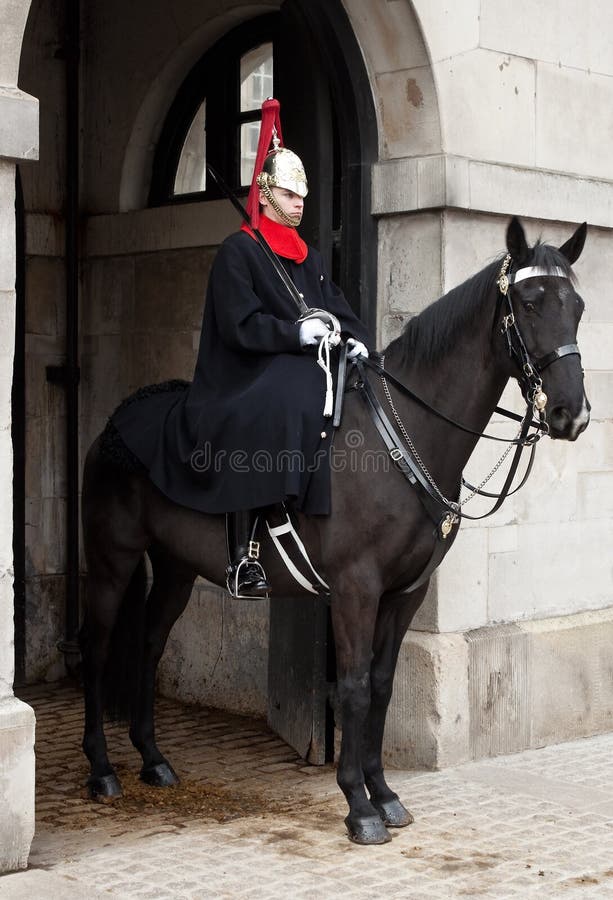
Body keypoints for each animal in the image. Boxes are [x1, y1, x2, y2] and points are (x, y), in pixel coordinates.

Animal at [79, 217, 590, 845]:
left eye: (578, 306)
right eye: (530, 301)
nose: (572, 414)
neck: (402, 437)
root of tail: (116, 419)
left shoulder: (405, 592)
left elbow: (383, 684)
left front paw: (385, 792)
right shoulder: (355, 589)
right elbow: (352, 686)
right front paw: (357, 804)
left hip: (175, 567)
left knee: (150, 644)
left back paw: (153, 759)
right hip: (113, 559)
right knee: (99, 648)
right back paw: (102, 770)